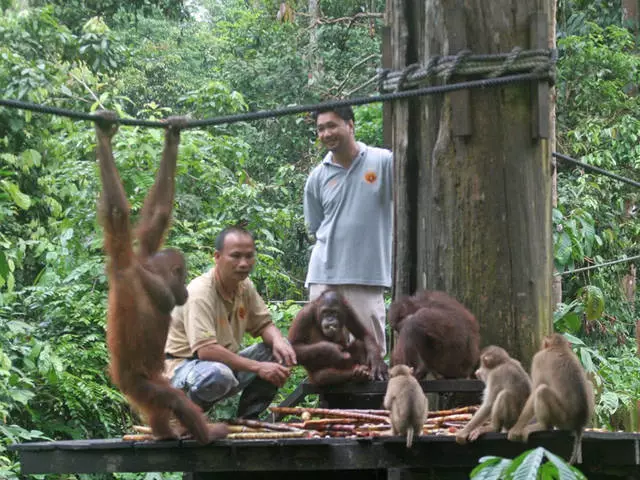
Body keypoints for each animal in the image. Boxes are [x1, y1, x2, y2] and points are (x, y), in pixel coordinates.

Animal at [510, 334, 596, 464]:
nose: (541, 346)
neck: (559, 348)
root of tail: (579, 423)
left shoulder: (538, 359)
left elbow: (535, 390)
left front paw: (516, 428)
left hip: (562, 419)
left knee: (542, 391)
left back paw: (543, 426)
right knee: (589, 383)